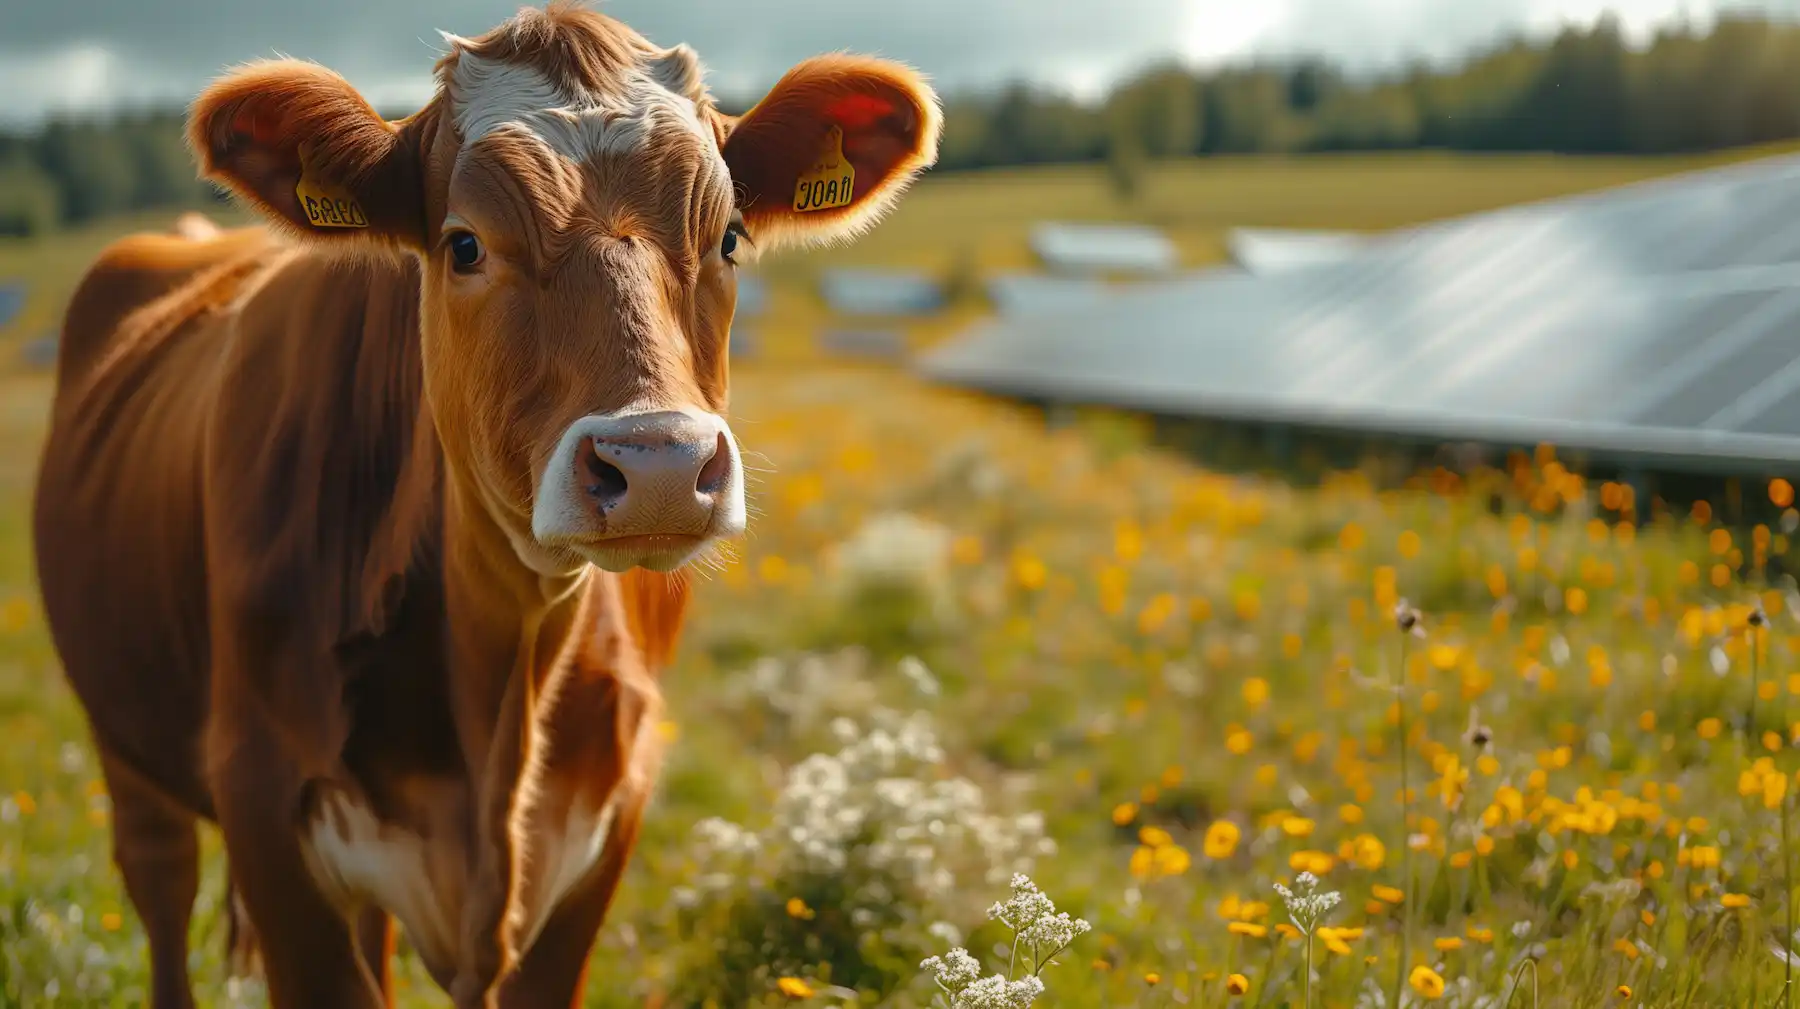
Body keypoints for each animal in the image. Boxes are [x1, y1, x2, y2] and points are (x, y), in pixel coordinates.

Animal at [29, 3, 940, 1007]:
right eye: (464, 244)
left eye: (731, 236)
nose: (659, 462)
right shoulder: (266, 817)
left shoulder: (604, 824)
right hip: (125, 743)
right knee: (160, 885)